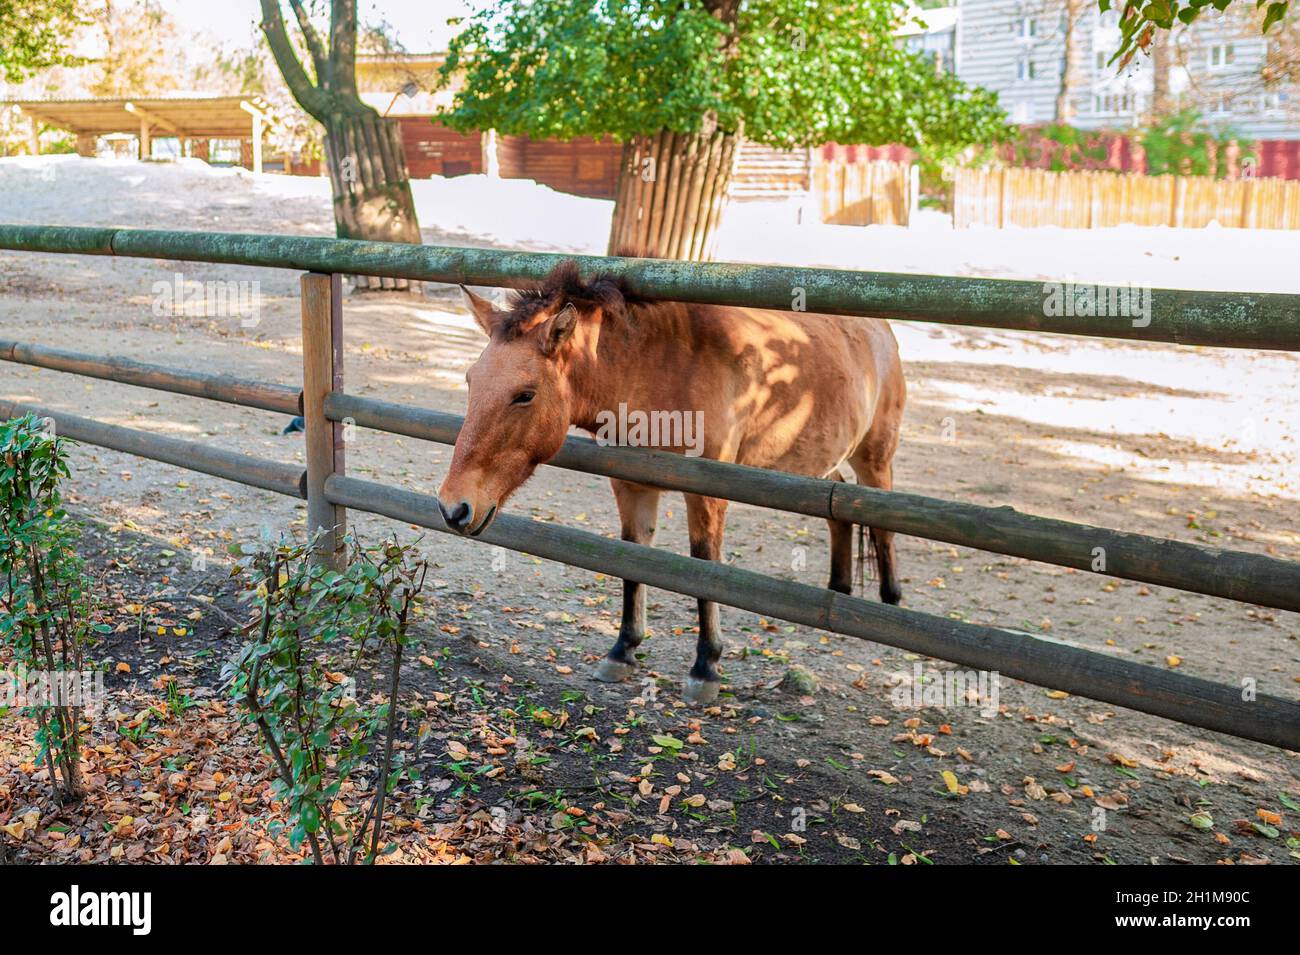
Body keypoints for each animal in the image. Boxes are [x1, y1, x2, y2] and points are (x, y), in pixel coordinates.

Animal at [436, 261, 904, 701]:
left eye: (525, 394)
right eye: (471, 380)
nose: (453, 507)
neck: (664, 369)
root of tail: (880, 329)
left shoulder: (707, 493)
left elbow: (703, 566)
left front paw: (705, 667)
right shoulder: (631, 486)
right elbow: (632, 559)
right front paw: (622, 650)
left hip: (874, 459)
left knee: (883, 525)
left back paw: (892, 605)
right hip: (822, 464)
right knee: (838, 511)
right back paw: (838, 591)